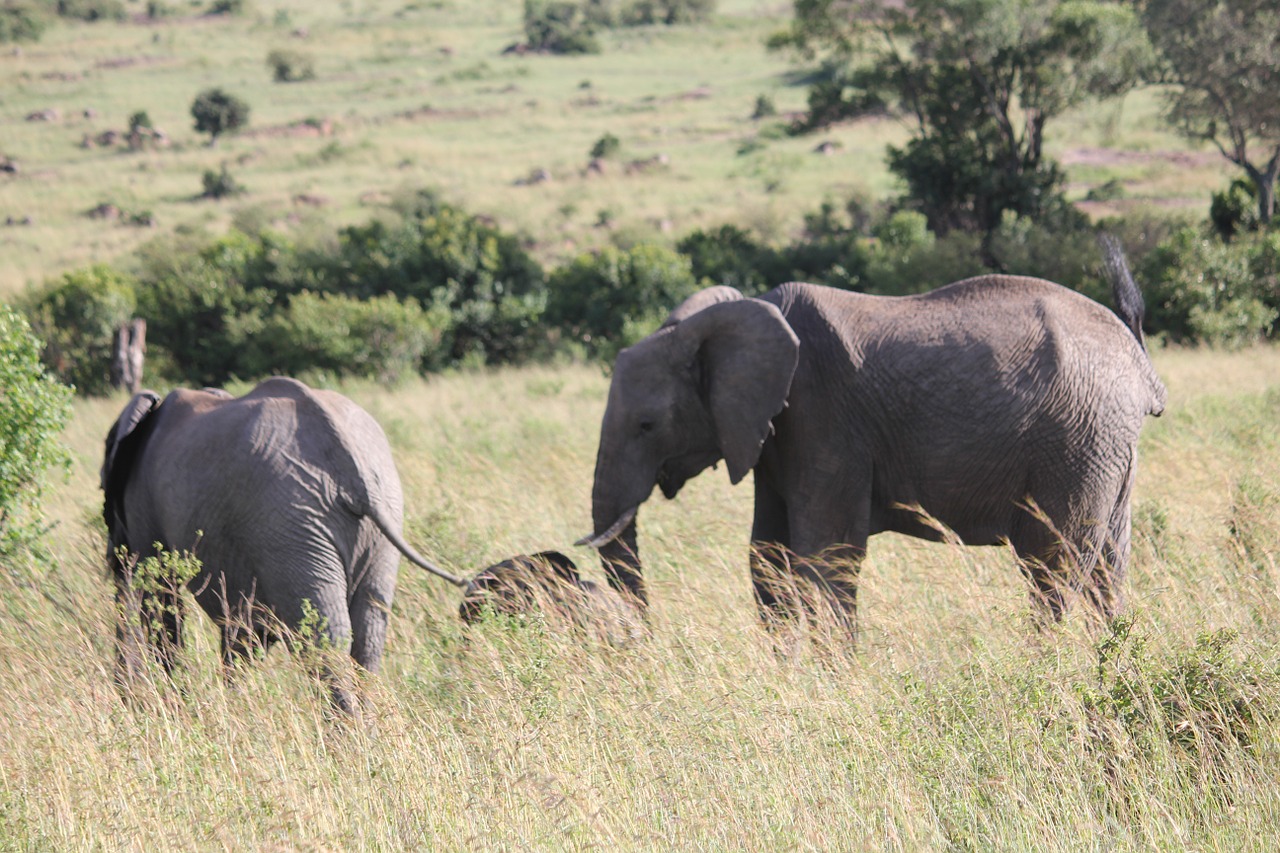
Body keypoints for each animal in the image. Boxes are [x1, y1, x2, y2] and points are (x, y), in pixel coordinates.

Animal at [103, 371, 465, 712]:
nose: (127, 696)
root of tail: (352, 470)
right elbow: (243, 624)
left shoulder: (145, 509)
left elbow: (159, 596)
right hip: (367, 519)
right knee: (368, 631)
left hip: (292, 520)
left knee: (324, 634)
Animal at [581, 247, 1172, 630]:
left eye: (646, 425)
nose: (642, 638)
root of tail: (1138, 361)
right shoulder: (777, 436)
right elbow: (766, 558)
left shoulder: (823, 417)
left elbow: (828, 556)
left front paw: (832, 685)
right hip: (1106, 451)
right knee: (1106, 569)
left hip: (1076, 443)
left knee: (1053, 568)